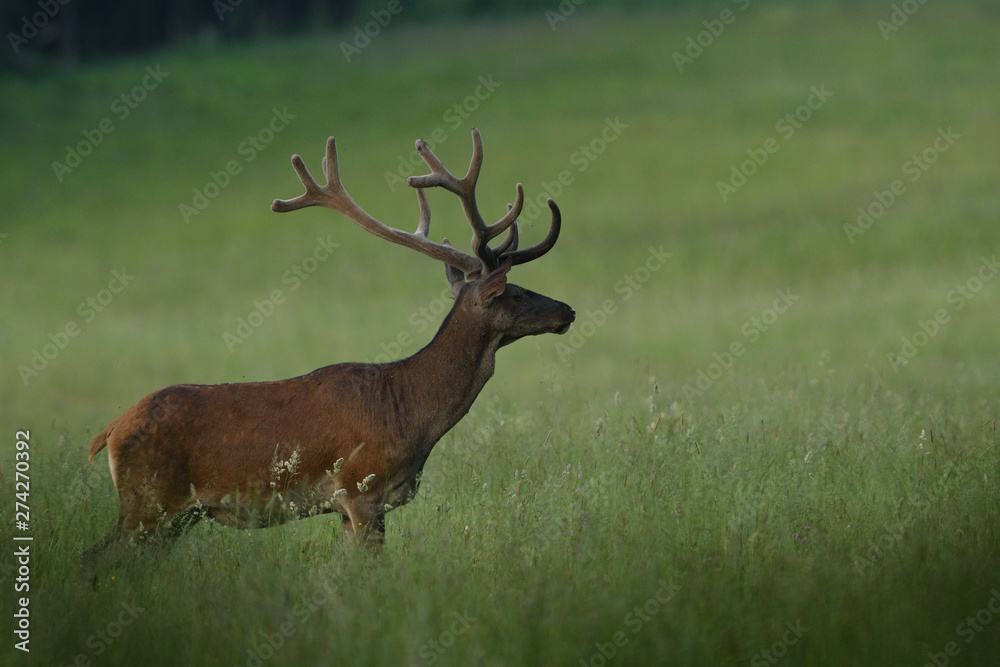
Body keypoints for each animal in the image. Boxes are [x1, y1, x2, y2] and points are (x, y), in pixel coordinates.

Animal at [84, 128, 580, 572]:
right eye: (514, 292)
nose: (568, 310)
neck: (412, 410)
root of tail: (109, 430)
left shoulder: (347, 509)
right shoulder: (361, 490)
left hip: (176, 515)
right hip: (149, 500)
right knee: (95, 556)